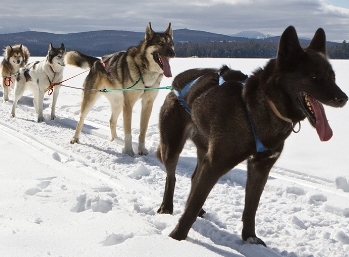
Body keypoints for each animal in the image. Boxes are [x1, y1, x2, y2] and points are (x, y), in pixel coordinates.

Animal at [156, 26, 346, 246]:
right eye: (314, 77)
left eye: (332, 76)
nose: (343, 98)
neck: (260, 108)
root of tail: (176, 85)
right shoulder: (215, 164)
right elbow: (193, 205)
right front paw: (176, 239)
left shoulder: (260, 166)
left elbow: (251, 207)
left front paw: (250, 237)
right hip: (172, 147)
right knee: (172, 177)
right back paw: (166, 207)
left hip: (204, 150)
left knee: (195, 179)